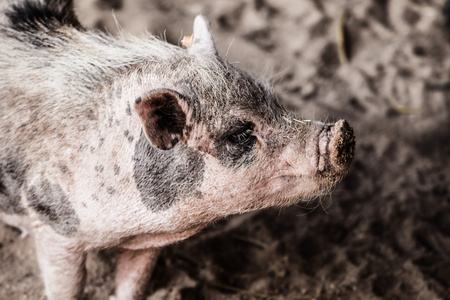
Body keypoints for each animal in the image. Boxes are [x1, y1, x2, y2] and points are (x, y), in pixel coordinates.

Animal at [0, 0, 356, 298]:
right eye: (240, 134)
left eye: (275, 103)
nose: (344, 132)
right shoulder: (51, 220)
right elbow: (67, 288)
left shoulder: (144, 243)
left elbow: (133, 283)